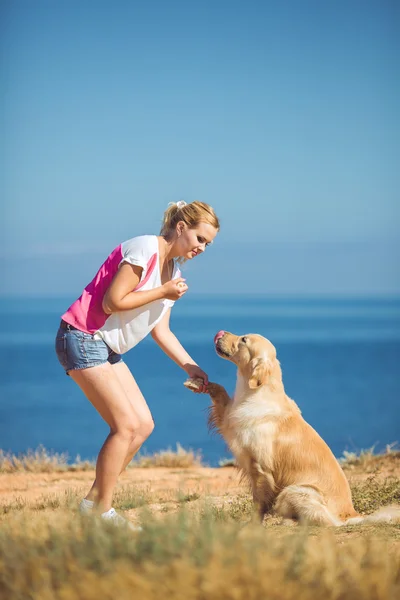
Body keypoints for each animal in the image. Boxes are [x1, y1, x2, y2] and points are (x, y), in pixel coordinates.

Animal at [185, 332, 400, 524]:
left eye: (244, 340)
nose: (220, 333)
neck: (256, 393)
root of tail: (350, 515)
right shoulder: (228, 420)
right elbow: (219, 390)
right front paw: (197, 382)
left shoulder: (260, 468)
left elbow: (259, 504)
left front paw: (252, 525)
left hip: (296, 491)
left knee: (323, 521)